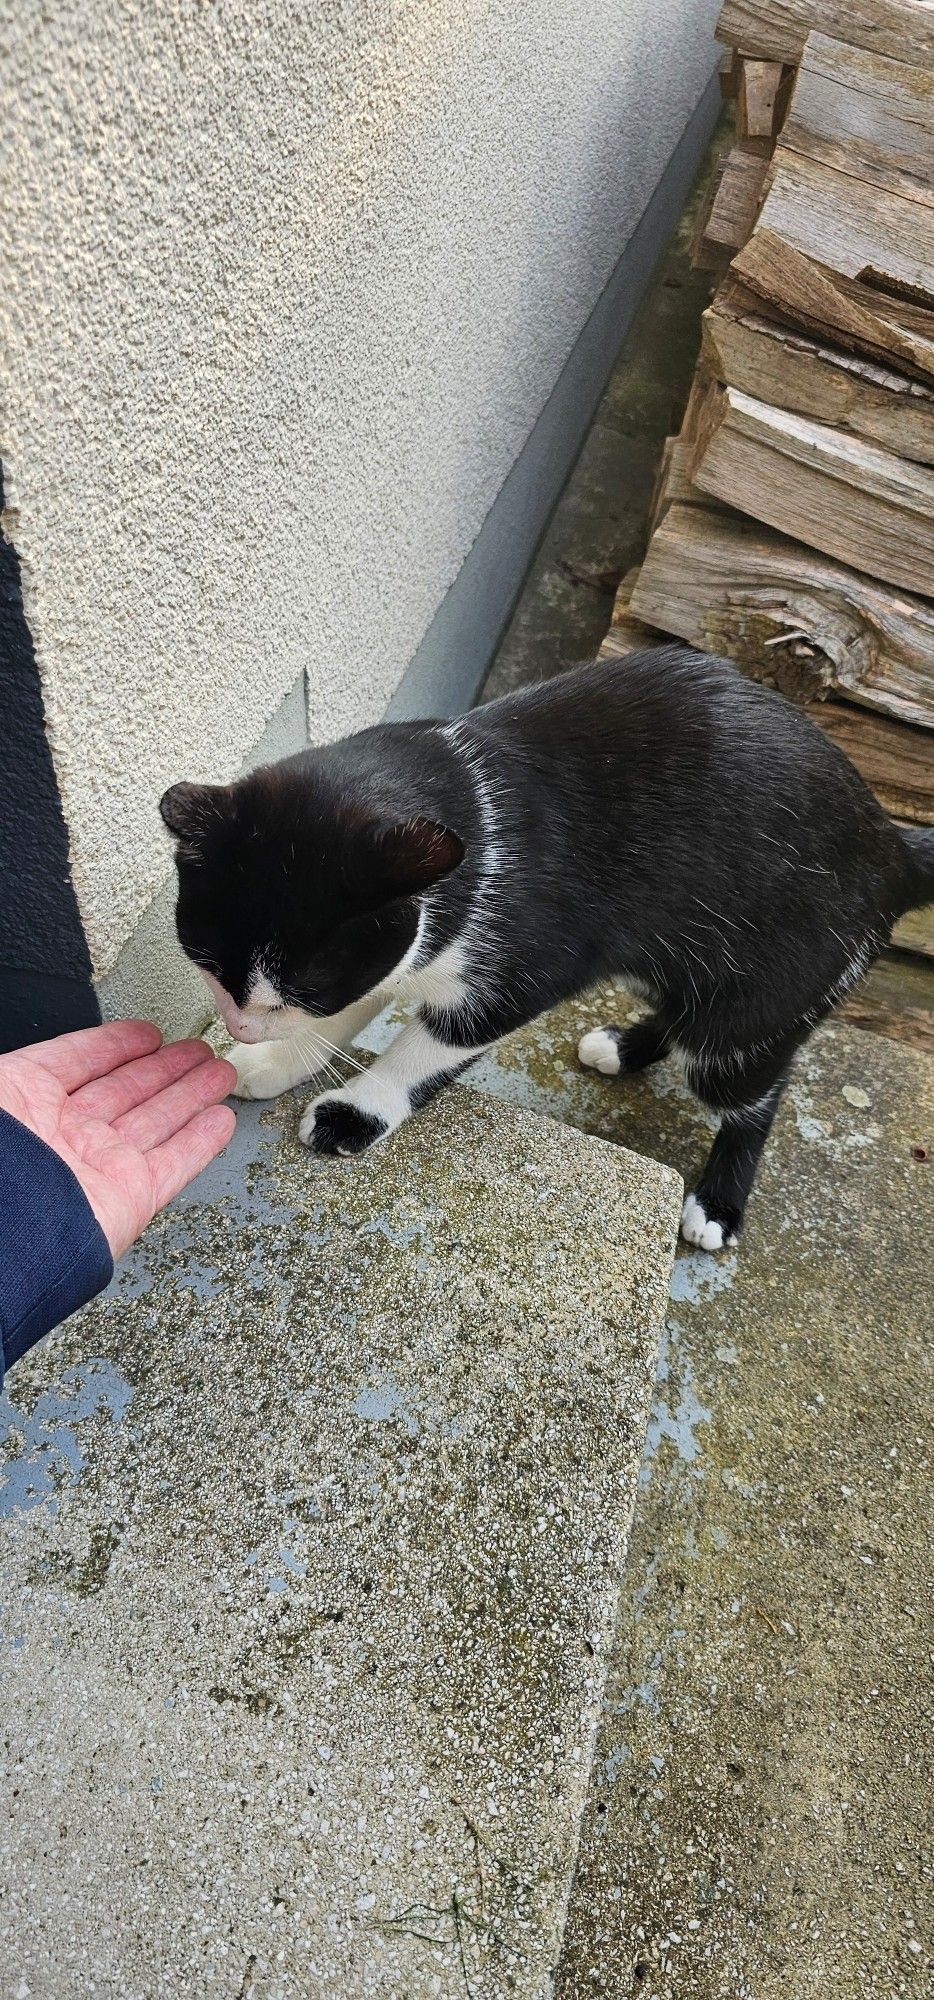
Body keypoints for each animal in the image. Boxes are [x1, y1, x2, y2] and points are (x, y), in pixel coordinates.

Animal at [161, 648, 934, 1248]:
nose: (239, 1026)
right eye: (210, 967)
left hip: (766, 989)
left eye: (298, 986)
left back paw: (719, 1201)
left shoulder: (525, 964)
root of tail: (892, 843)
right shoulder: (409, 940)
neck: (476, 806)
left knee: (747, 1081)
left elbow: (430, 1045)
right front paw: (277, 1060)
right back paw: (624, 1047)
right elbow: (365, 999)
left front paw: (358, 1108)